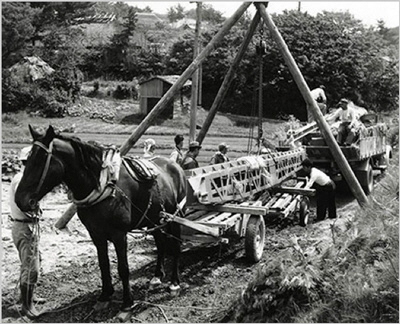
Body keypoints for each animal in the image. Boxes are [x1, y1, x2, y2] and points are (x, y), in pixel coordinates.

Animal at [14, 124, 186, 312]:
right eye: (28, 160)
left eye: (41, 159)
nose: (20, 200)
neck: (103, 187)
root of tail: (175, 166)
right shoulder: (95, 233)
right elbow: (103, 264)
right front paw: (105, 295)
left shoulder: (119, 234)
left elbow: (123, 268)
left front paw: (127, 301)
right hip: (154, 219)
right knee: (161, 244)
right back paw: (157, 276)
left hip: (174, 217)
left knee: (175, 247)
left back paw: (174, 282)